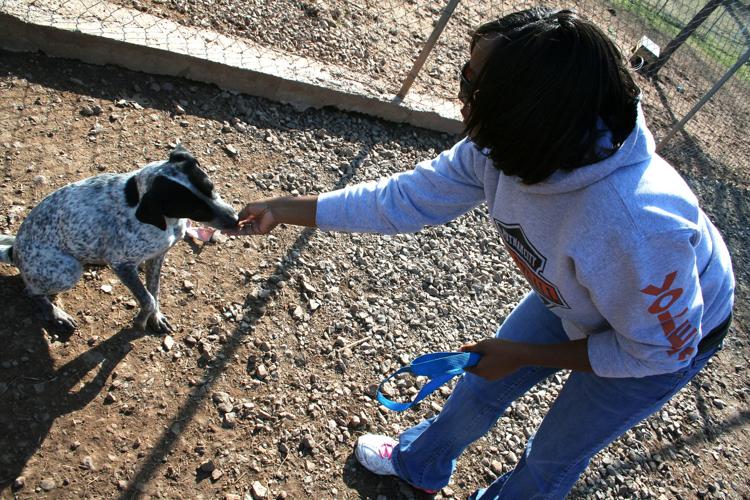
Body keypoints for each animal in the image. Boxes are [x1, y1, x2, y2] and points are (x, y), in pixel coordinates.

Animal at [0, 146, 238, 338]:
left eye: (211, 187)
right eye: (195, 210)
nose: (236, 220)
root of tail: (15, 251)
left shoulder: (157, 256)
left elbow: (154, 291)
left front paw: (155, 316)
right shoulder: (121, 264)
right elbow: (147, 299)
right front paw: (141, 320)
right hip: (67, 270)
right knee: (31, 291)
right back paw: (57, 313)